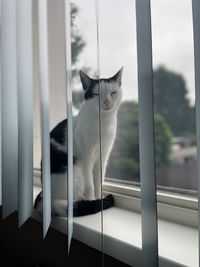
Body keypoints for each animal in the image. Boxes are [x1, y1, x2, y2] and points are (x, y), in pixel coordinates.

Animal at [34, 67, 122, 218]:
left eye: (113, 93)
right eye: (97, 94)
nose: (106, 102)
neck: (103, 124)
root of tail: (43, 196)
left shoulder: (103, 156)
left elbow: (98, 181)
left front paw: (99, 197)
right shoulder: (85, 157)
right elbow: (90, 185)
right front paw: (93, 199)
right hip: (75, 171)